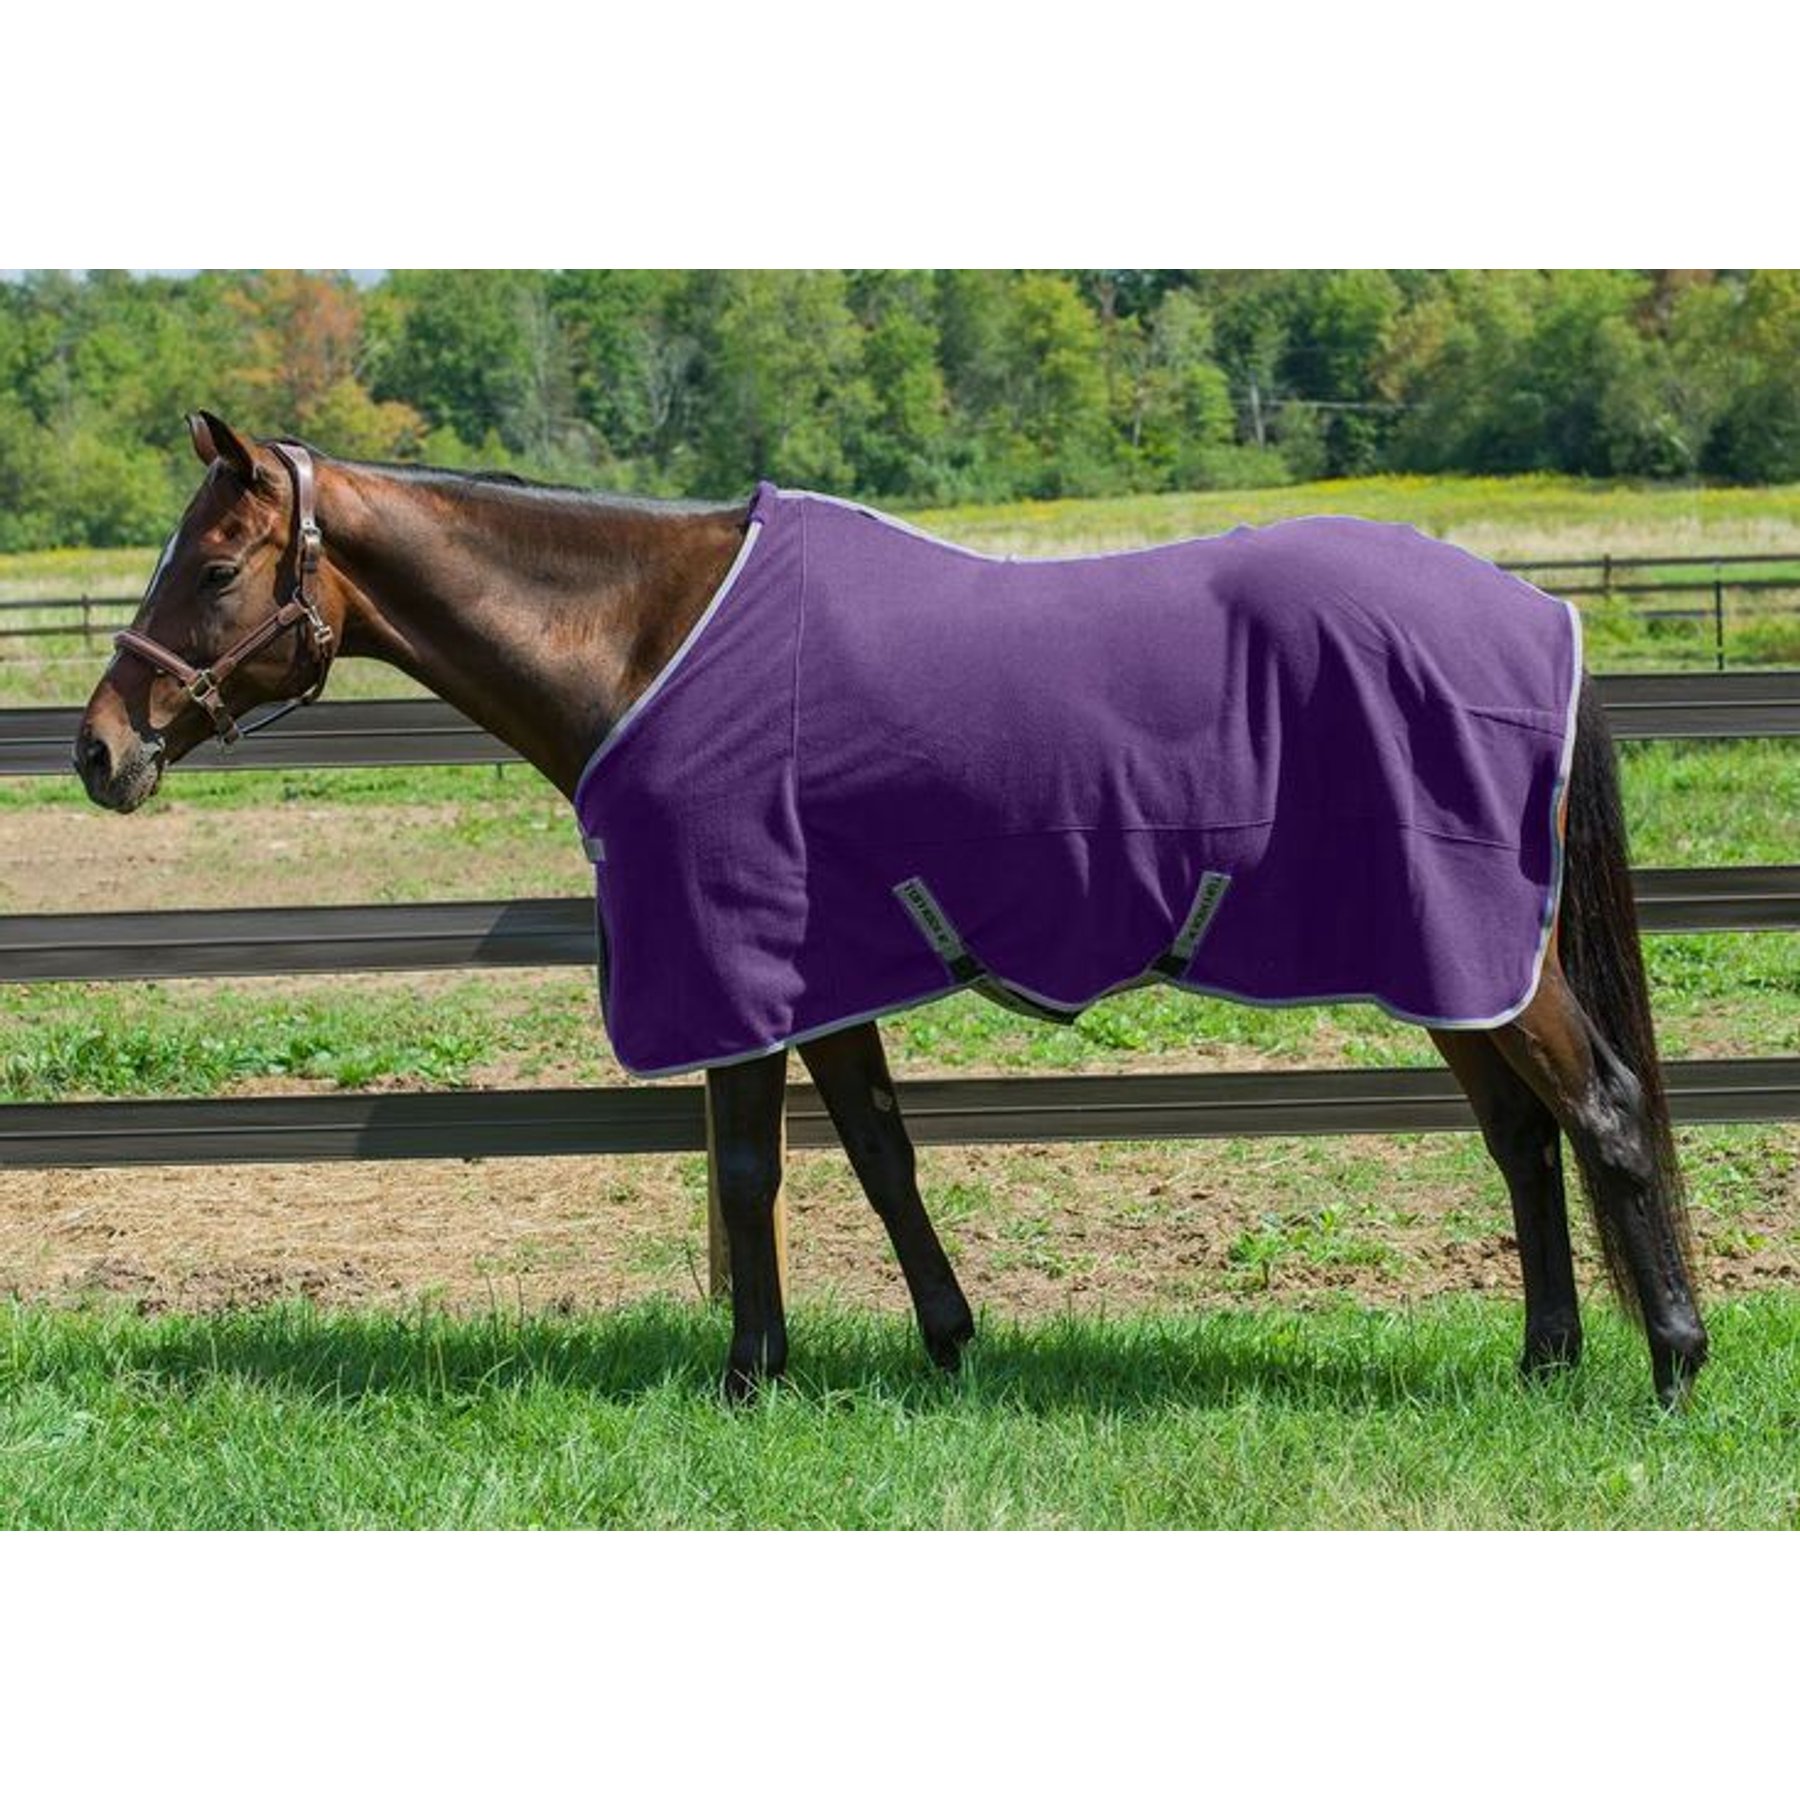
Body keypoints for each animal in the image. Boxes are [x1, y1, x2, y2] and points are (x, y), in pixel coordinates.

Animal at [73, 411, 1709, 1406]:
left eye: (211, 566)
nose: (101, 750)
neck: (649, 637)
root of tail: (1534, 613)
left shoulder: (736, 957)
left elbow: (750, 1171)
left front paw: (750, 1375)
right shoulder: (824, 966)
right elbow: (877, 1154)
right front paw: (946, 1343)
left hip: (1481, 951)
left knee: (1604, 1110)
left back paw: (1673, 1363)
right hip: (1450, 958)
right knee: (1522, 1140)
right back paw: (1548, 1361)